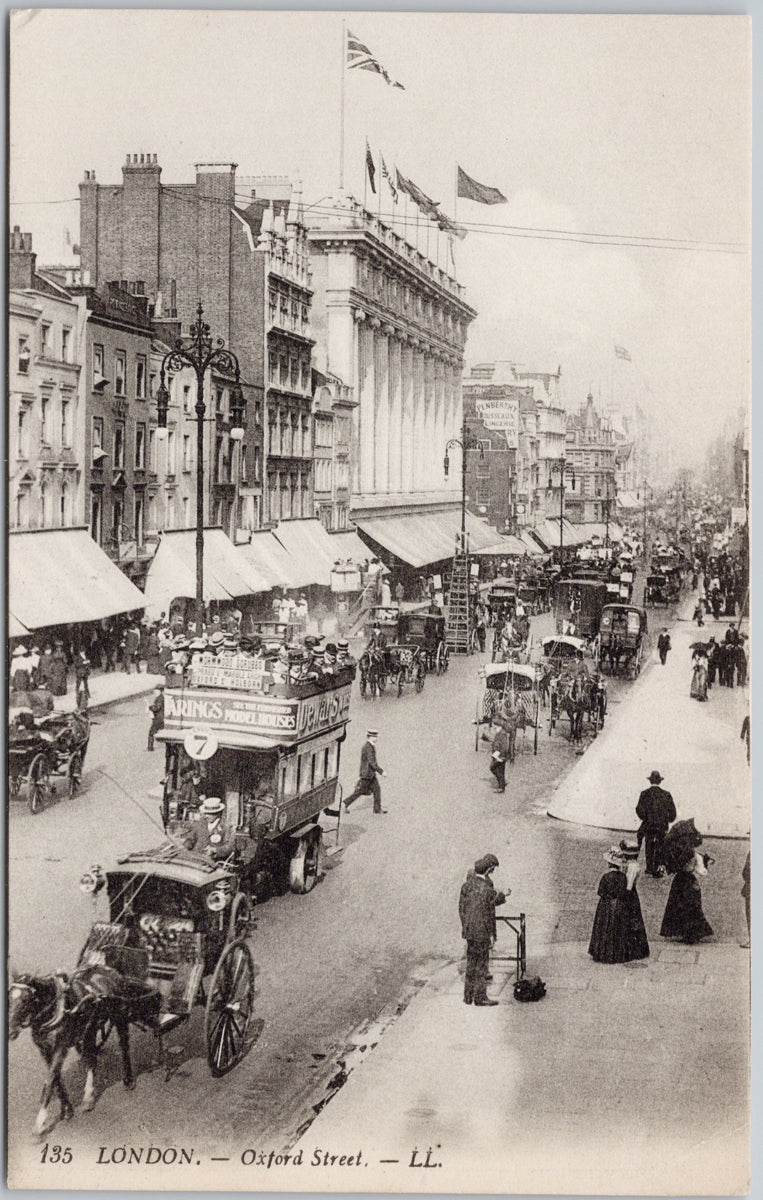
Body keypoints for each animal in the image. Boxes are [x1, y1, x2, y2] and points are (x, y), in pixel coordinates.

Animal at [8, 964, 164, 1132]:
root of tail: (113, 972)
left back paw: (126, 1080)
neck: (58, 1010)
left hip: (119, 1016)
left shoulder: (60, 1046)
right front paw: (67, 1109)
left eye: (26, 999)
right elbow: (56, 1078)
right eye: (8, 997)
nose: (10, 1031)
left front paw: (40, 1121)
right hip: (91, 1029)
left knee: (123, 1046)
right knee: (91, 1060)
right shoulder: (45, 1050)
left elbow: (50, 1081)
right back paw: (89, 1095)